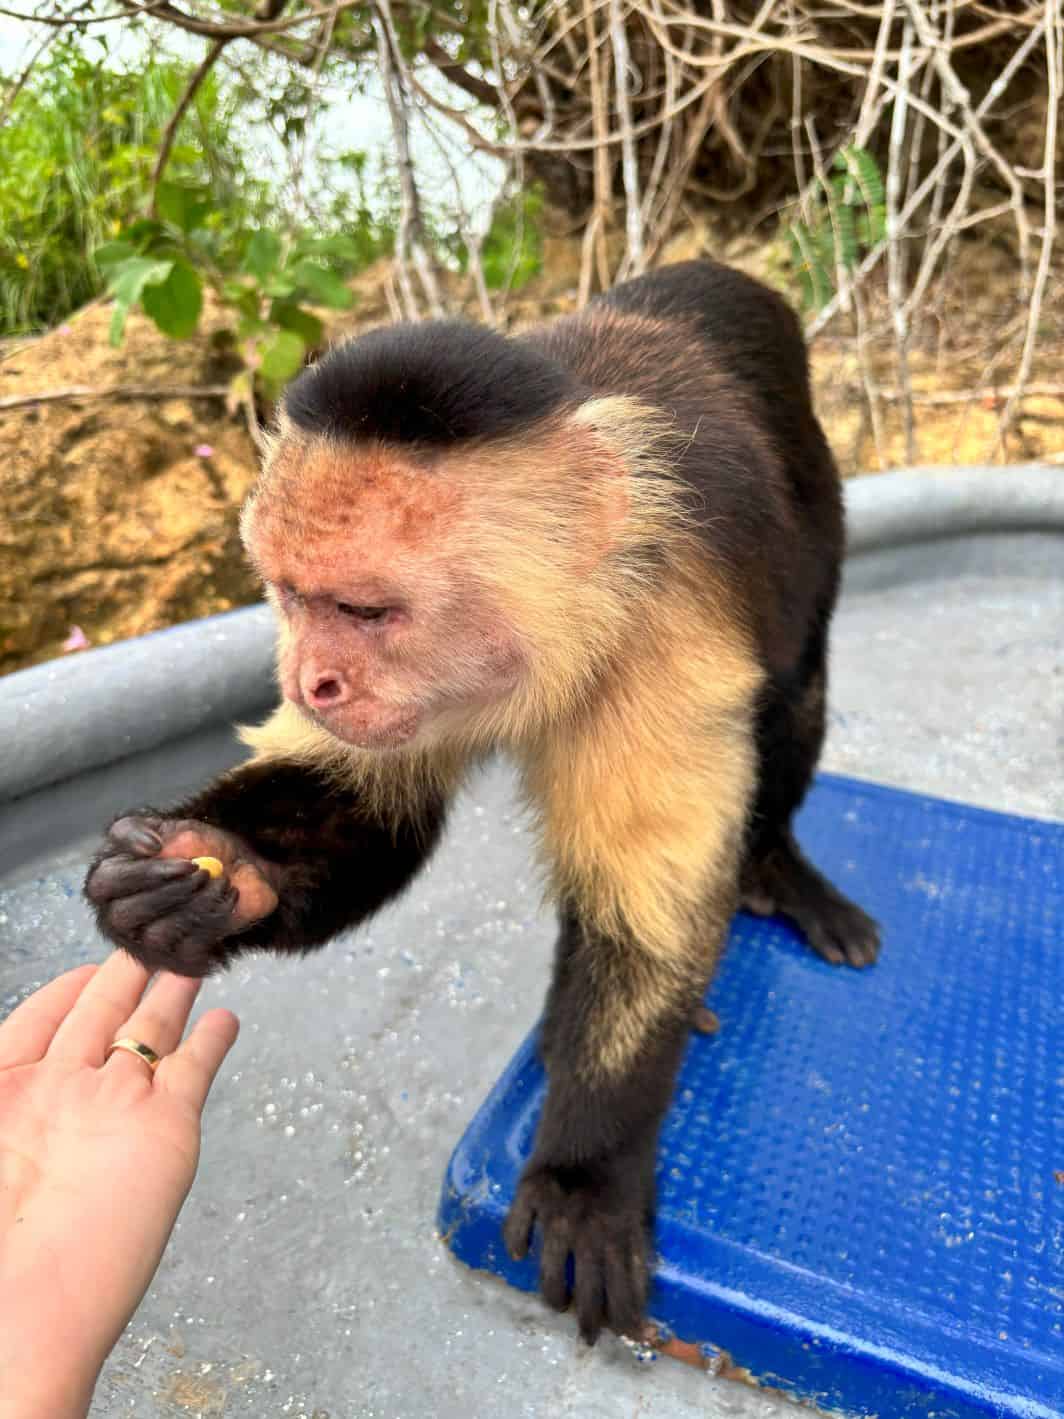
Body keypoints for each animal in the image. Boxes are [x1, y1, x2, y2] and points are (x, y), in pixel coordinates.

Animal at [84, 259, 879, 1346]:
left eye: (365, 609)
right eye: (288, 595)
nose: (307, 680)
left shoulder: (662, 633)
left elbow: (648, 918)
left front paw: (586, 1172)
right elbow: (367, 802)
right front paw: (208, 875)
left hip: (817, 500)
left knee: (794, 687)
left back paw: (777, 867)